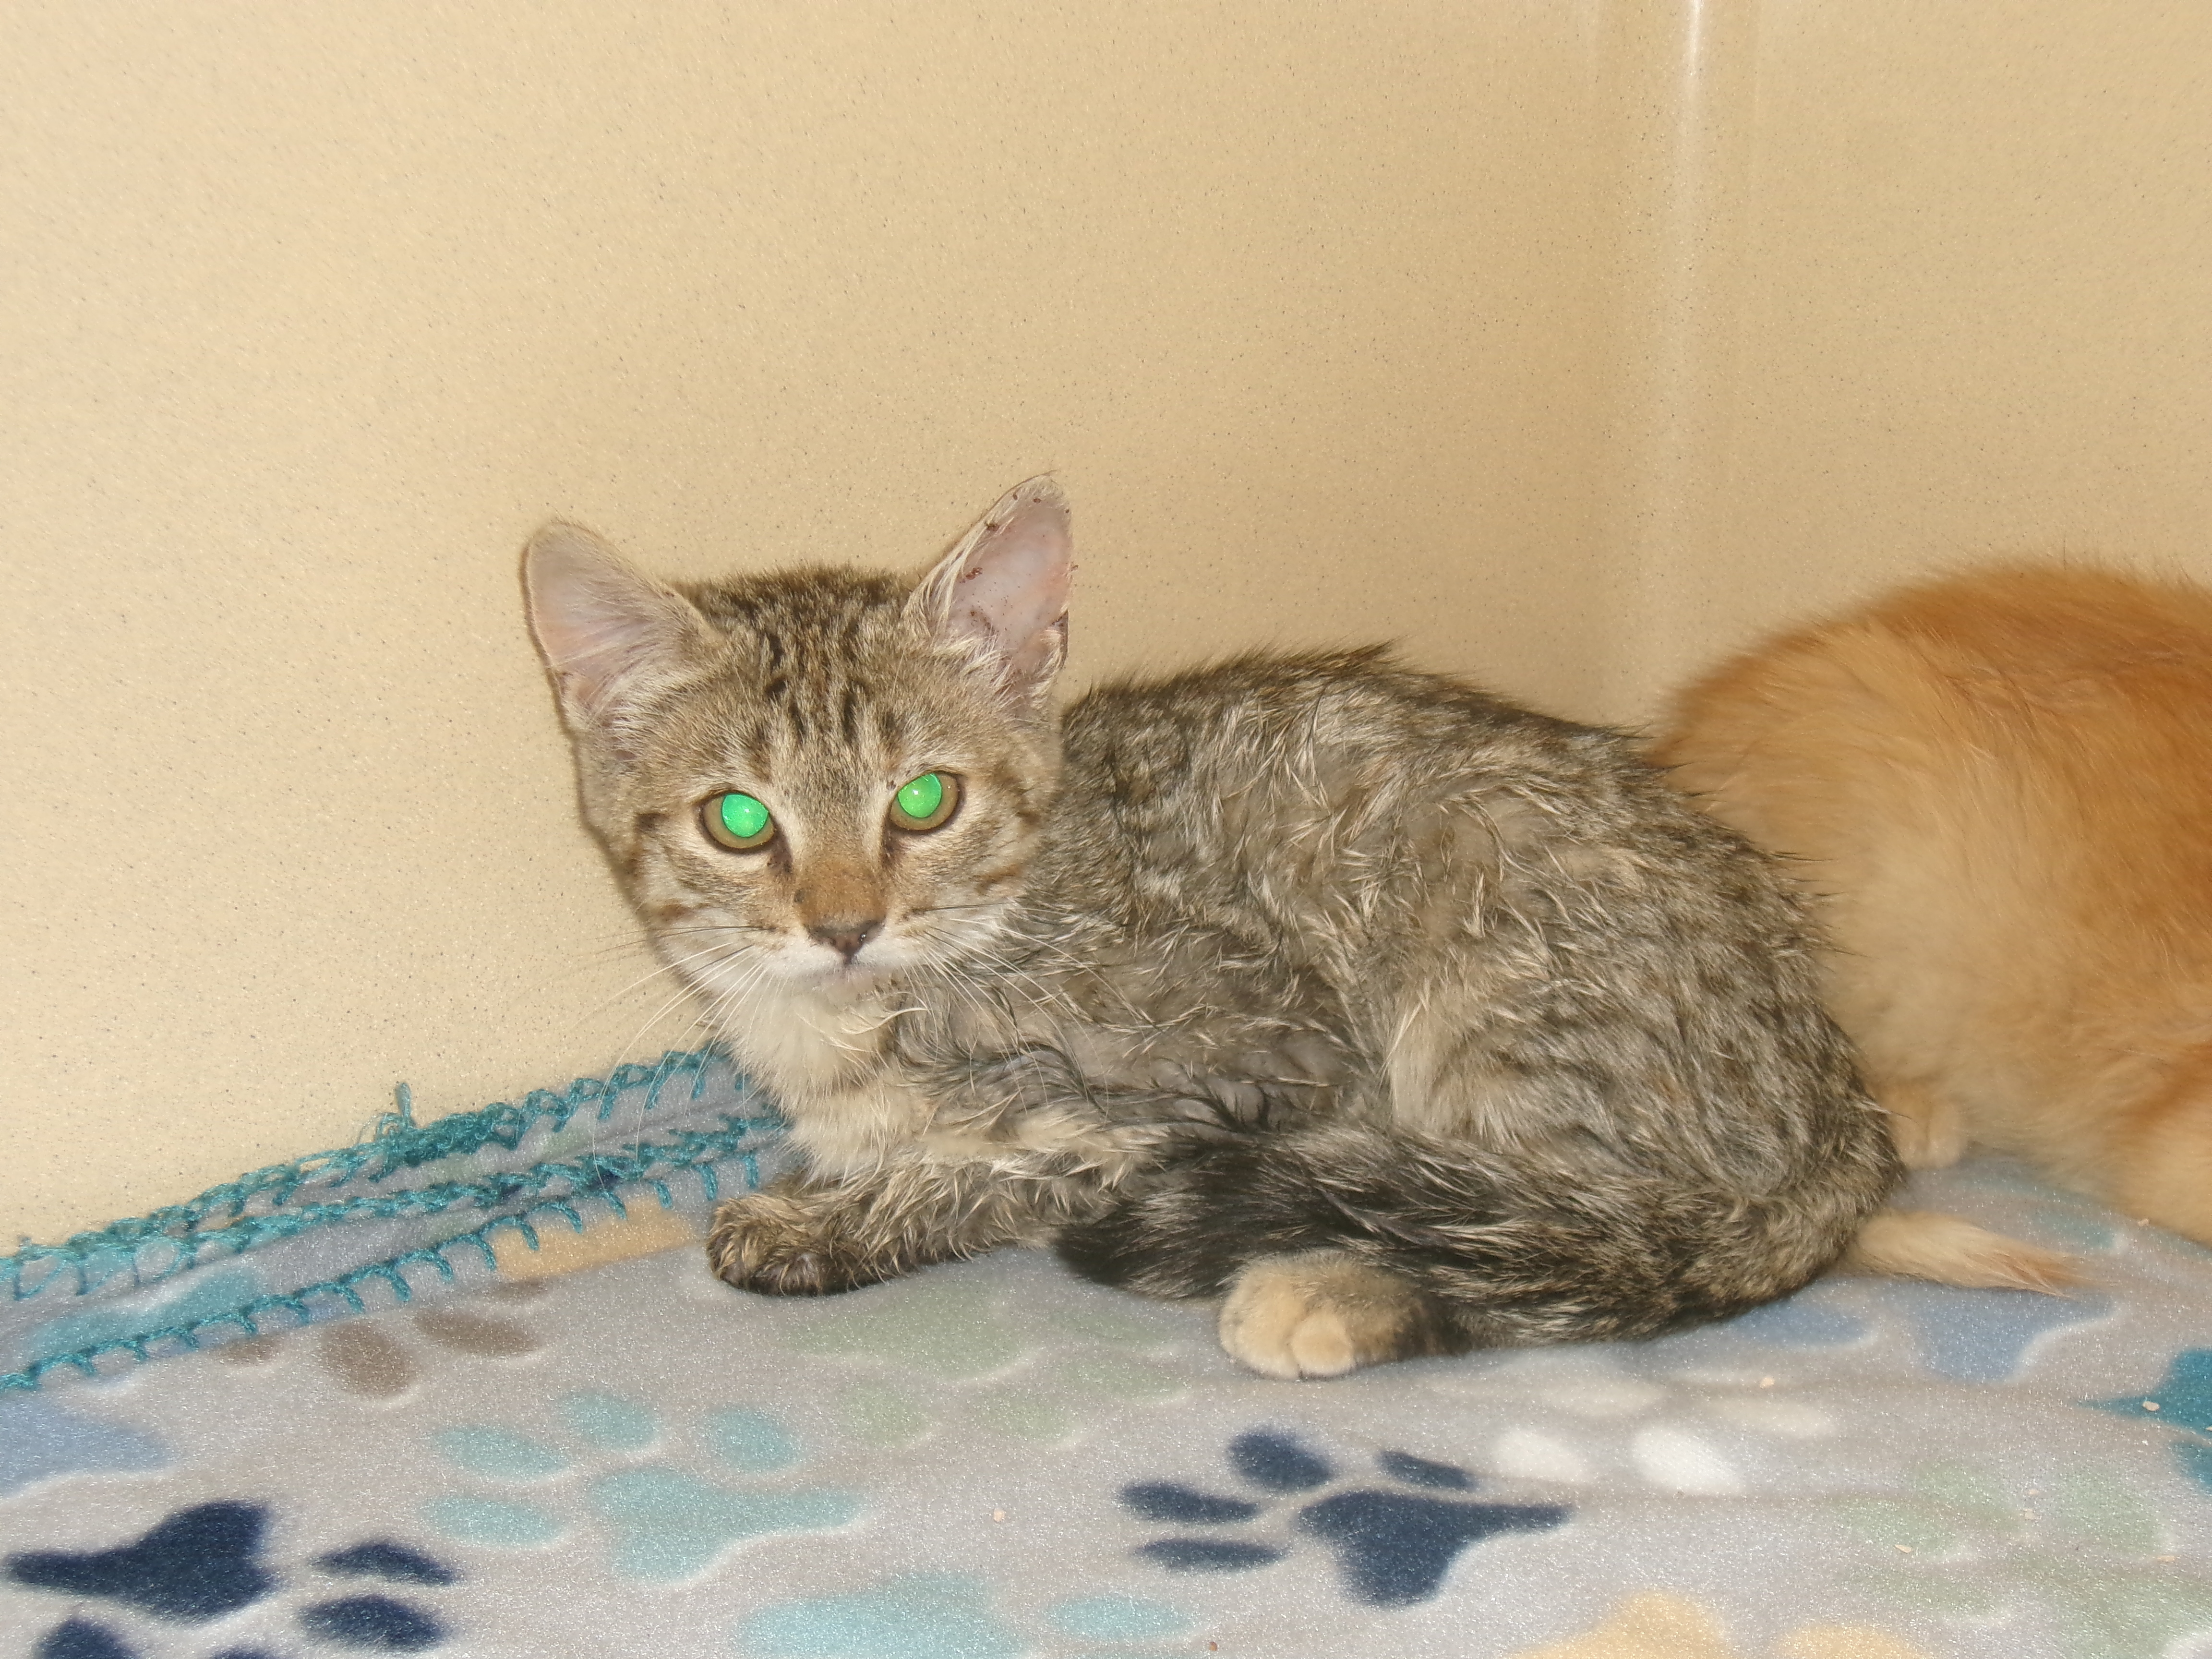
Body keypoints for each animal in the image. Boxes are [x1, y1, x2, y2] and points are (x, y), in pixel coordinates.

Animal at [522, 478, 2035, 1380]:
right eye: (738, 820)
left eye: (926, 799)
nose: (844, 924)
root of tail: (1829, 1091)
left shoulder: (1262, 1068)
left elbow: (1025, 1164)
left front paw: (829, 1219)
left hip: (1491, 964)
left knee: (1587, 1232)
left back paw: (1329, 1290)